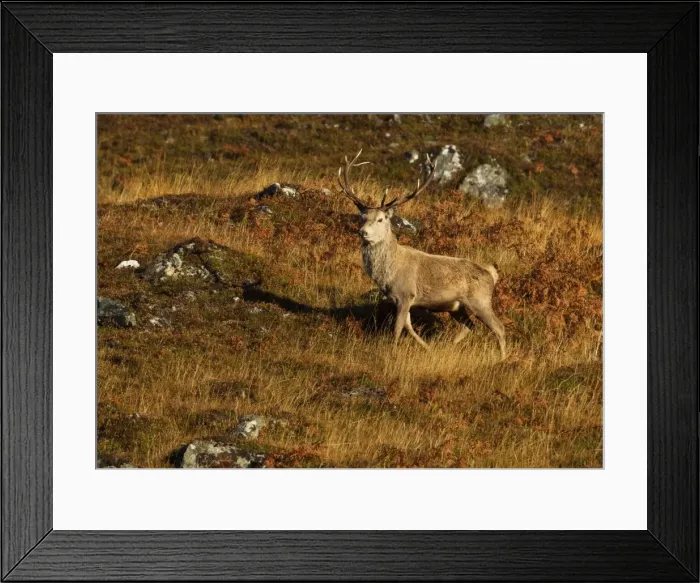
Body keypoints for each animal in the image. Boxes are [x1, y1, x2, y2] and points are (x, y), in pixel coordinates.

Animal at [337, 149, 506, 359]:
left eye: (381, 219)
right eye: (362, 217)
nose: (363, 232)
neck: (389, 273)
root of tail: (491, 273)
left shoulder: (406, 293)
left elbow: (398, 327)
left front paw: (393, 352)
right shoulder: (400, 298)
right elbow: (408, 325)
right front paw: (426, 347)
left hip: (481, 300)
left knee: (499, 328)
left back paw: (502, 360)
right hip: (457, 307)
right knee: (470, 326)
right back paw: (449, 345)